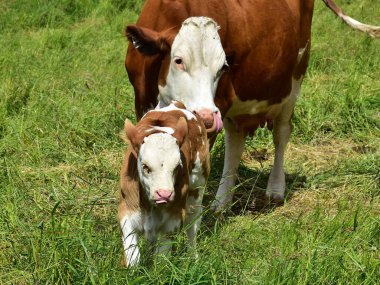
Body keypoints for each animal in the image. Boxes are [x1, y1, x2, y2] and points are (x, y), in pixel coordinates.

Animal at [117, 101, 209, 266]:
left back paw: (193, 258)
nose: (164, 194)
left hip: (197, 188)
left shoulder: (172, 220)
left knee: (192, 225)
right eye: (145, 167)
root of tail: (176, 104)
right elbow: (133, 256)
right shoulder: (127, 211)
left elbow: (162, 258)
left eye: (177, 167)